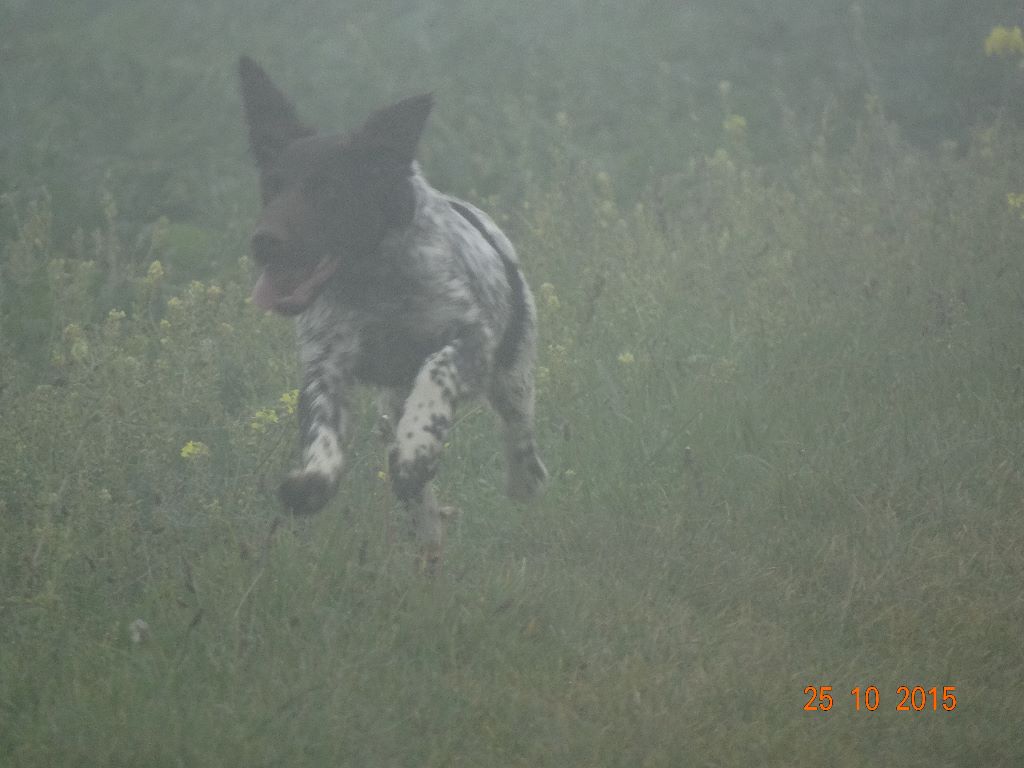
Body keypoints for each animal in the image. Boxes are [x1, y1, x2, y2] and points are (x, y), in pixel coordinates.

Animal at [239, 57, 548, 565]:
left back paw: (519, 482)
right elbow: (322, 430)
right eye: (272, 185)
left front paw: (417, 449)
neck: (373, 284)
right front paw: (312, 483)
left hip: (513, 378)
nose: (263, 241)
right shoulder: (326, 365)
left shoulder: (472, 341)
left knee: (522, 448)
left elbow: (436, 373)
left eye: (329, 190)